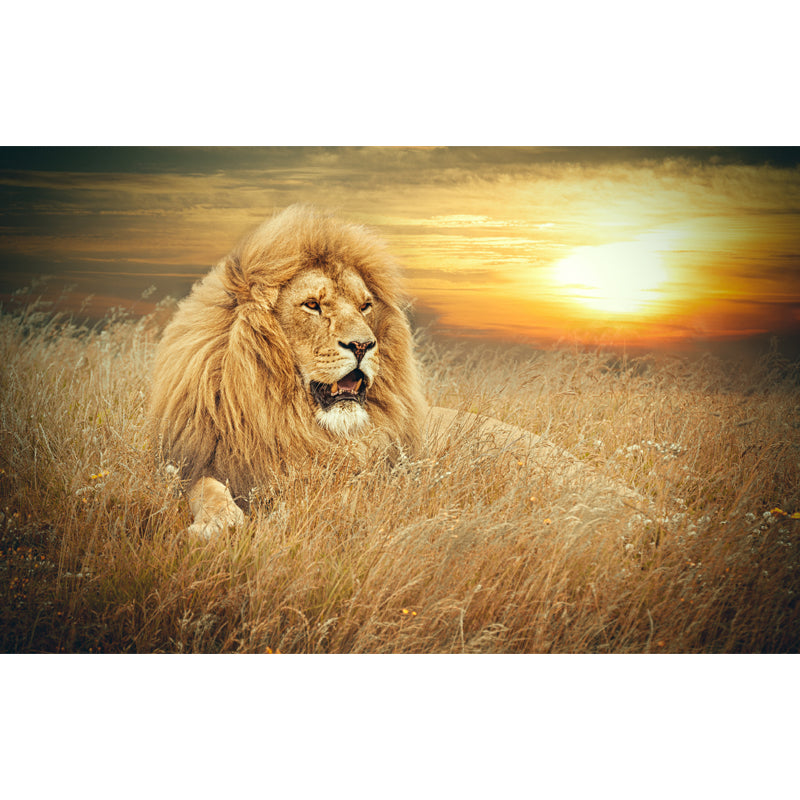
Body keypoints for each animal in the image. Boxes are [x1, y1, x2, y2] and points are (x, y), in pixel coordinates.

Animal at [151, 205, 633, 539]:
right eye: (313, 305)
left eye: (365, 306)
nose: (363, 345)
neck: (291, 421)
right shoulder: (194, 463)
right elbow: (205, 488)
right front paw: (219, 524)